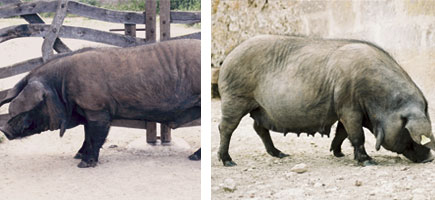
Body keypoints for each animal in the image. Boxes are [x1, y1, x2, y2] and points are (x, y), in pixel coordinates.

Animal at [0, 39, 201, 167]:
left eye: (24, 110)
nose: (4, 129)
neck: (61, 86)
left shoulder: (97, 109)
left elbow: (95, 136)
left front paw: (84, 164)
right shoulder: (86, 110)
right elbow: (87, 134)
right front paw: (77, 155)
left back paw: (193, 158)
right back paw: (193, 157)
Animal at [218, 35, 435, 166]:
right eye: (411, 134)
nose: (430, 158)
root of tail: (228, 58)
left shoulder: (342, 109)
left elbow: (341, 133)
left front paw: (338, 153)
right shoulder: (349, 107)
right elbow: (357, 135)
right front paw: (369, 162)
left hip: (260, 108)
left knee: (259, 128)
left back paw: (281, 154)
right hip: (234, 98)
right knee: (226, 128)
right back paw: (228, 161)